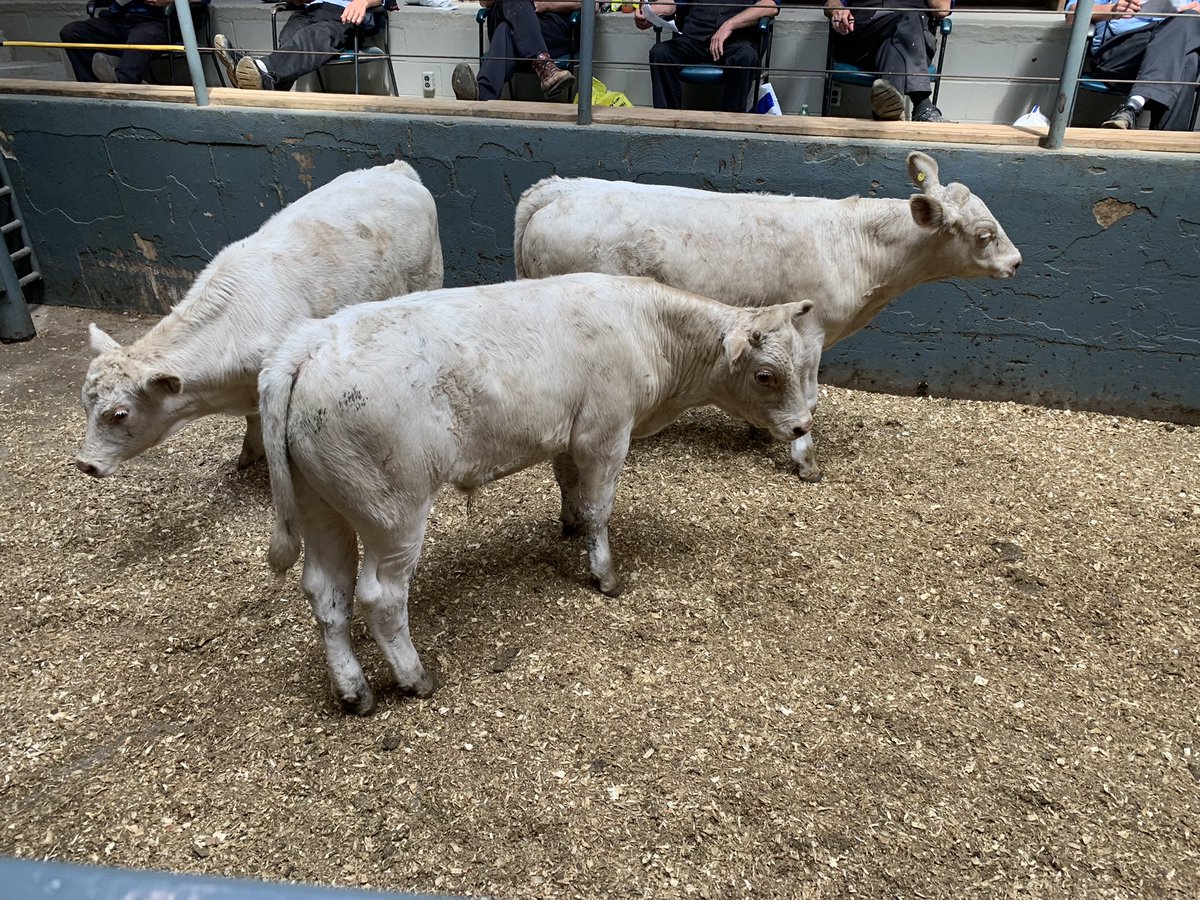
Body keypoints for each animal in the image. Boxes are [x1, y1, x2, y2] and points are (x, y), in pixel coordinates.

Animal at [76, 160, 444, 478]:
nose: (84, 463)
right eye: (85, 404)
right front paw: (249, 453)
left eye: (119, 413)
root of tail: (395, 170)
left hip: (428, 275)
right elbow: (252, 422)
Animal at [258, 273, 822, 714]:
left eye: (803, 364)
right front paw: (604, 574)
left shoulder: (568, 438)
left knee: (327, 593)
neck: (644, 326)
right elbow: (599, 509)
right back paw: (416, 678)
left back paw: (355, 692)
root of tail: (307, 345)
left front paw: (568, 526)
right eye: (765, 374)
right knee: (381, 597)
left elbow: (570, 488)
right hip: (393, 513)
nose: (801, 427)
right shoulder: (604, 434)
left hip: (322, 507)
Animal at [513, 151, 1023, 481]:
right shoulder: (811, 331)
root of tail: (556, 190)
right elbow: (810, 399)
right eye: (984, 233)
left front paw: (760, 429)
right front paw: (804, 459)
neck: (855, 246)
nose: (1016, 261)